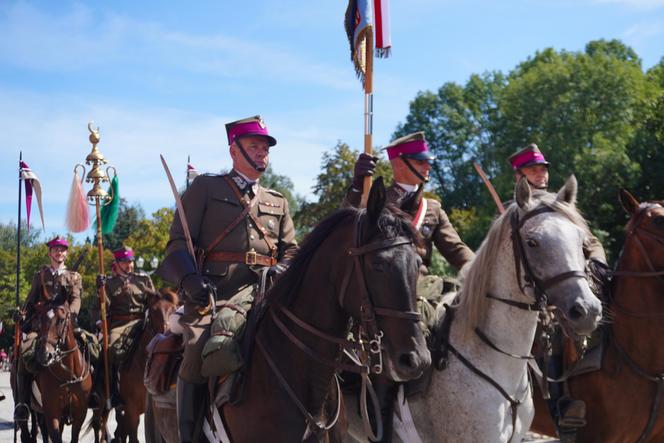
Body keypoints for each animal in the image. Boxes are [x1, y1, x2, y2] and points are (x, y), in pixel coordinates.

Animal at [33, 304, 92, 443]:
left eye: (61, 320)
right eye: (41, 319)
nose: (44, 355)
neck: (68, 378)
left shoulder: (80, 413)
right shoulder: (52, 413)